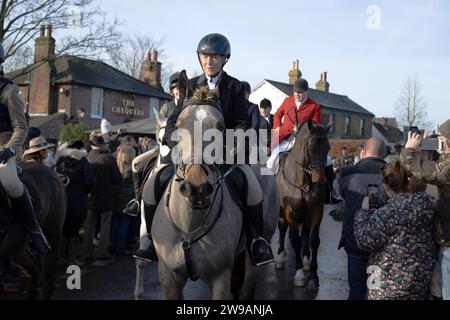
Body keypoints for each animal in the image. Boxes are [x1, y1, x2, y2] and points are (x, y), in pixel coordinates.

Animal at [274, 120, 330, 290]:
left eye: (328, 148)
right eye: (311, 148)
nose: (320, 183)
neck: (304, 180)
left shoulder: (317, 210)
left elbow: (314, 240)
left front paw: (313, 276)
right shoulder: (290, 212)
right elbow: (295, 240)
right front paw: (299, 275)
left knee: (305, 233)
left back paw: (305, 260)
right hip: (282, 212)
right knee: (283, 228)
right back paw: (280, 257)